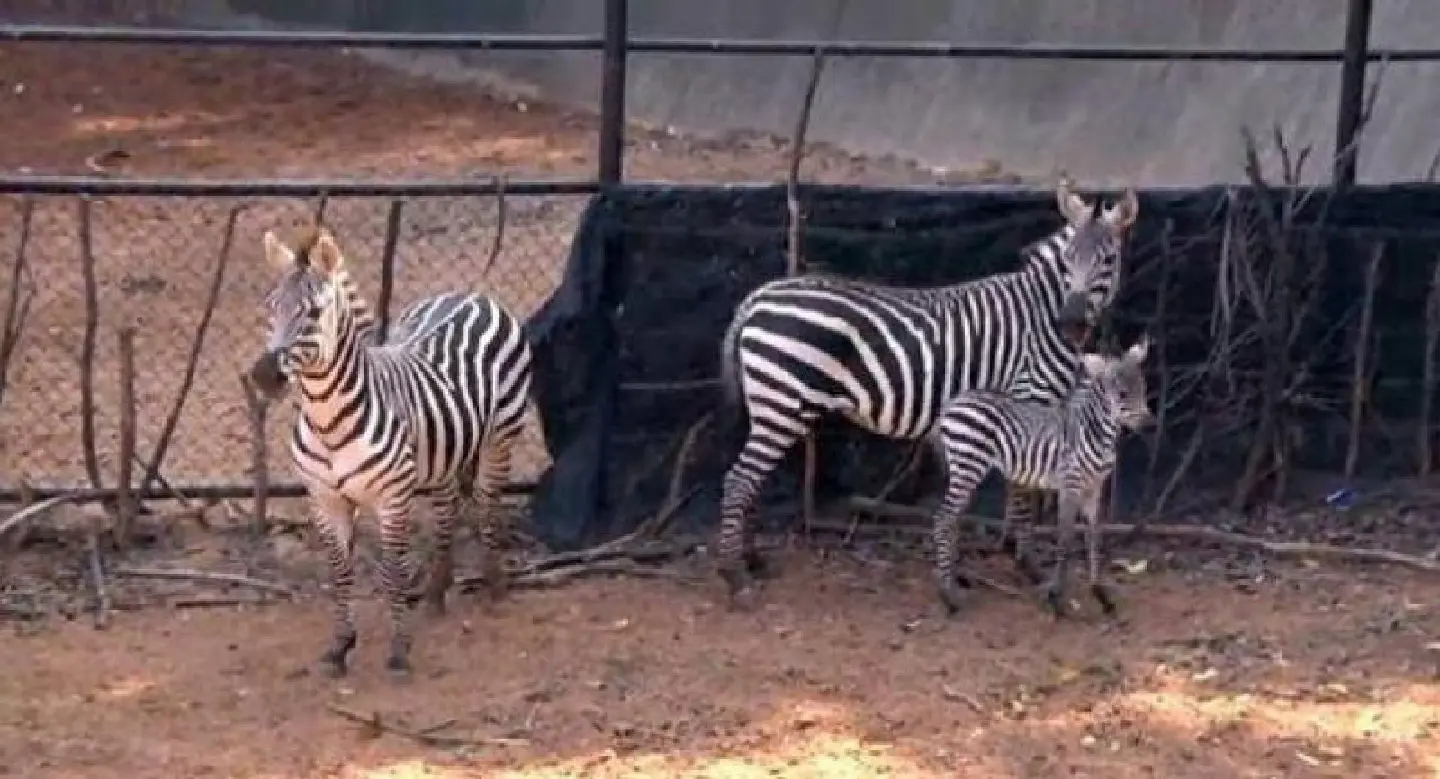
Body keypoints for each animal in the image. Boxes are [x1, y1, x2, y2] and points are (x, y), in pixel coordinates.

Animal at [247, 227, 533, 678]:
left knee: (488, 504)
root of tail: (471, 295)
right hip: (442, 453)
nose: (264, 375)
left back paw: (494, 588)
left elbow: (392, 572)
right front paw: (340, 647)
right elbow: (339, 573)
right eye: (271, 307)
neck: (328, 421)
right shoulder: (324, 498)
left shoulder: (392, 496)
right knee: (448, 509)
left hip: (501, 435)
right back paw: (435, 593)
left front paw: (399, 650)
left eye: (314, 313)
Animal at [928, 336, 1153, 617]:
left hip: (965, 467)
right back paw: (947, 595)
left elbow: (1094, 540)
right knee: (943, 518)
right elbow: (1065, 541)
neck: (1094, 431)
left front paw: (1101, 594)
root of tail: (951, 404)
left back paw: (953, 581)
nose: (1150, 425)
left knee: (952, 519)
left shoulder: (1094, 489)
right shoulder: (1070, 485)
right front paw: (1057, 597)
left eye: (1143, 388)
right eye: (1122, 394)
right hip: (969, 463)